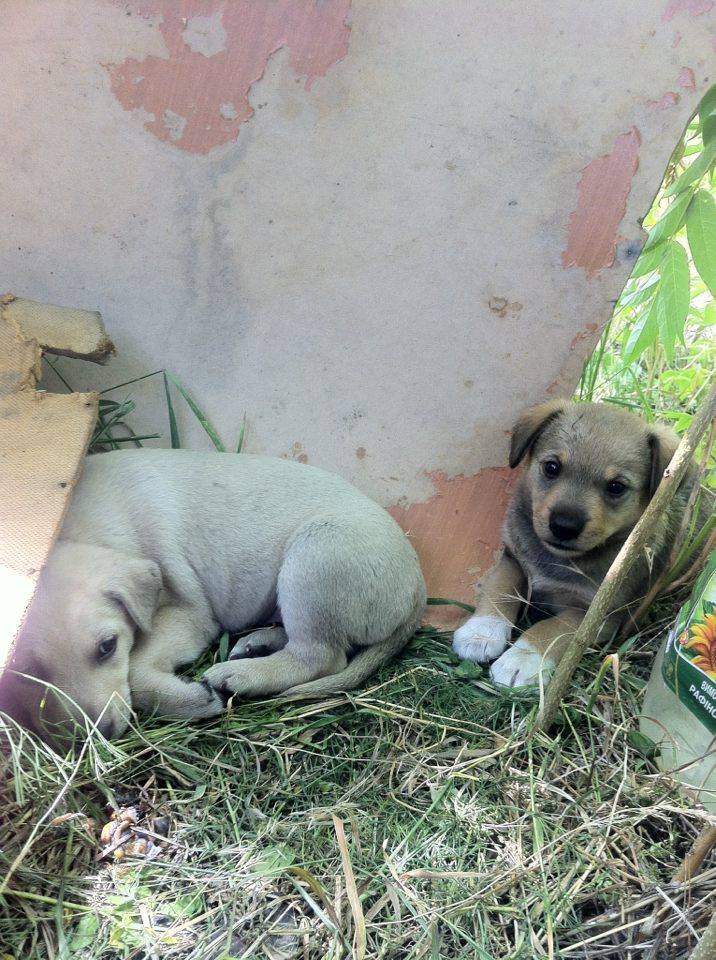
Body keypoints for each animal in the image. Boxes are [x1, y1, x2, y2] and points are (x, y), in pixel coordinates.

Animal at [454, 400, 700, 688]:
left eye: (616, 487)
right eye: (552, 467)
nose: (564, 526)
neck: (557, 561)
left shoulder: (596, 616)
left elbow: (553, 628)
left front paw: (522, 659)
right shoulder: (512, 557)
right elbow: (500, 586)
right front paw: (481, 631)